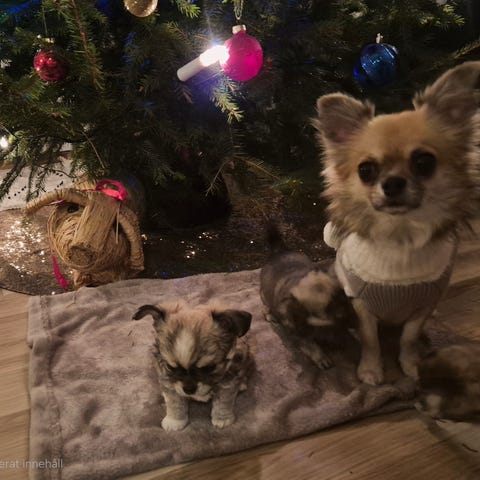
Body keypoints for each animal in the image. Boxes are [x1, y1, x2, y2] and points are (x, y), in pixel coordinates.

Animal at [133, 302, 253, 431]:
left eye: (209, 368)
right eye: (171, 367)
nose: (188, 390)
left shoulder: (228, 381)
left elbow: (224, 401)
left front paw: (222, 418)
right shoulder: (168, 380)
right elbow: (174, 402)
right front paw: (174, 421)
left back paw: (242, 384)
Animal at [260, 223, 357, 369]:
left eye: (344, 296)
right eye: (334, 309)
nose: (357, 322)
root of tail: (279, 251)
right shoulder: (299, 334)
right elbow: (311, 345)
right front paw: (321, 357)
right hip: (264, 297)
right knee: (265, 309)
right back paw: (271, 316)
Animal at [313, 61, 480, 385]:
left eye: (424, 162)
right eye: (366, 170)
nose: (391, 183)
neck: (400, 235)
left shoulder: (423, 306)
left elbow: (408, 338)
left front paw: (411, 364)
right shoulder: (362, 306)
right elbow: (370, 340)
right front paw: (370, 369)